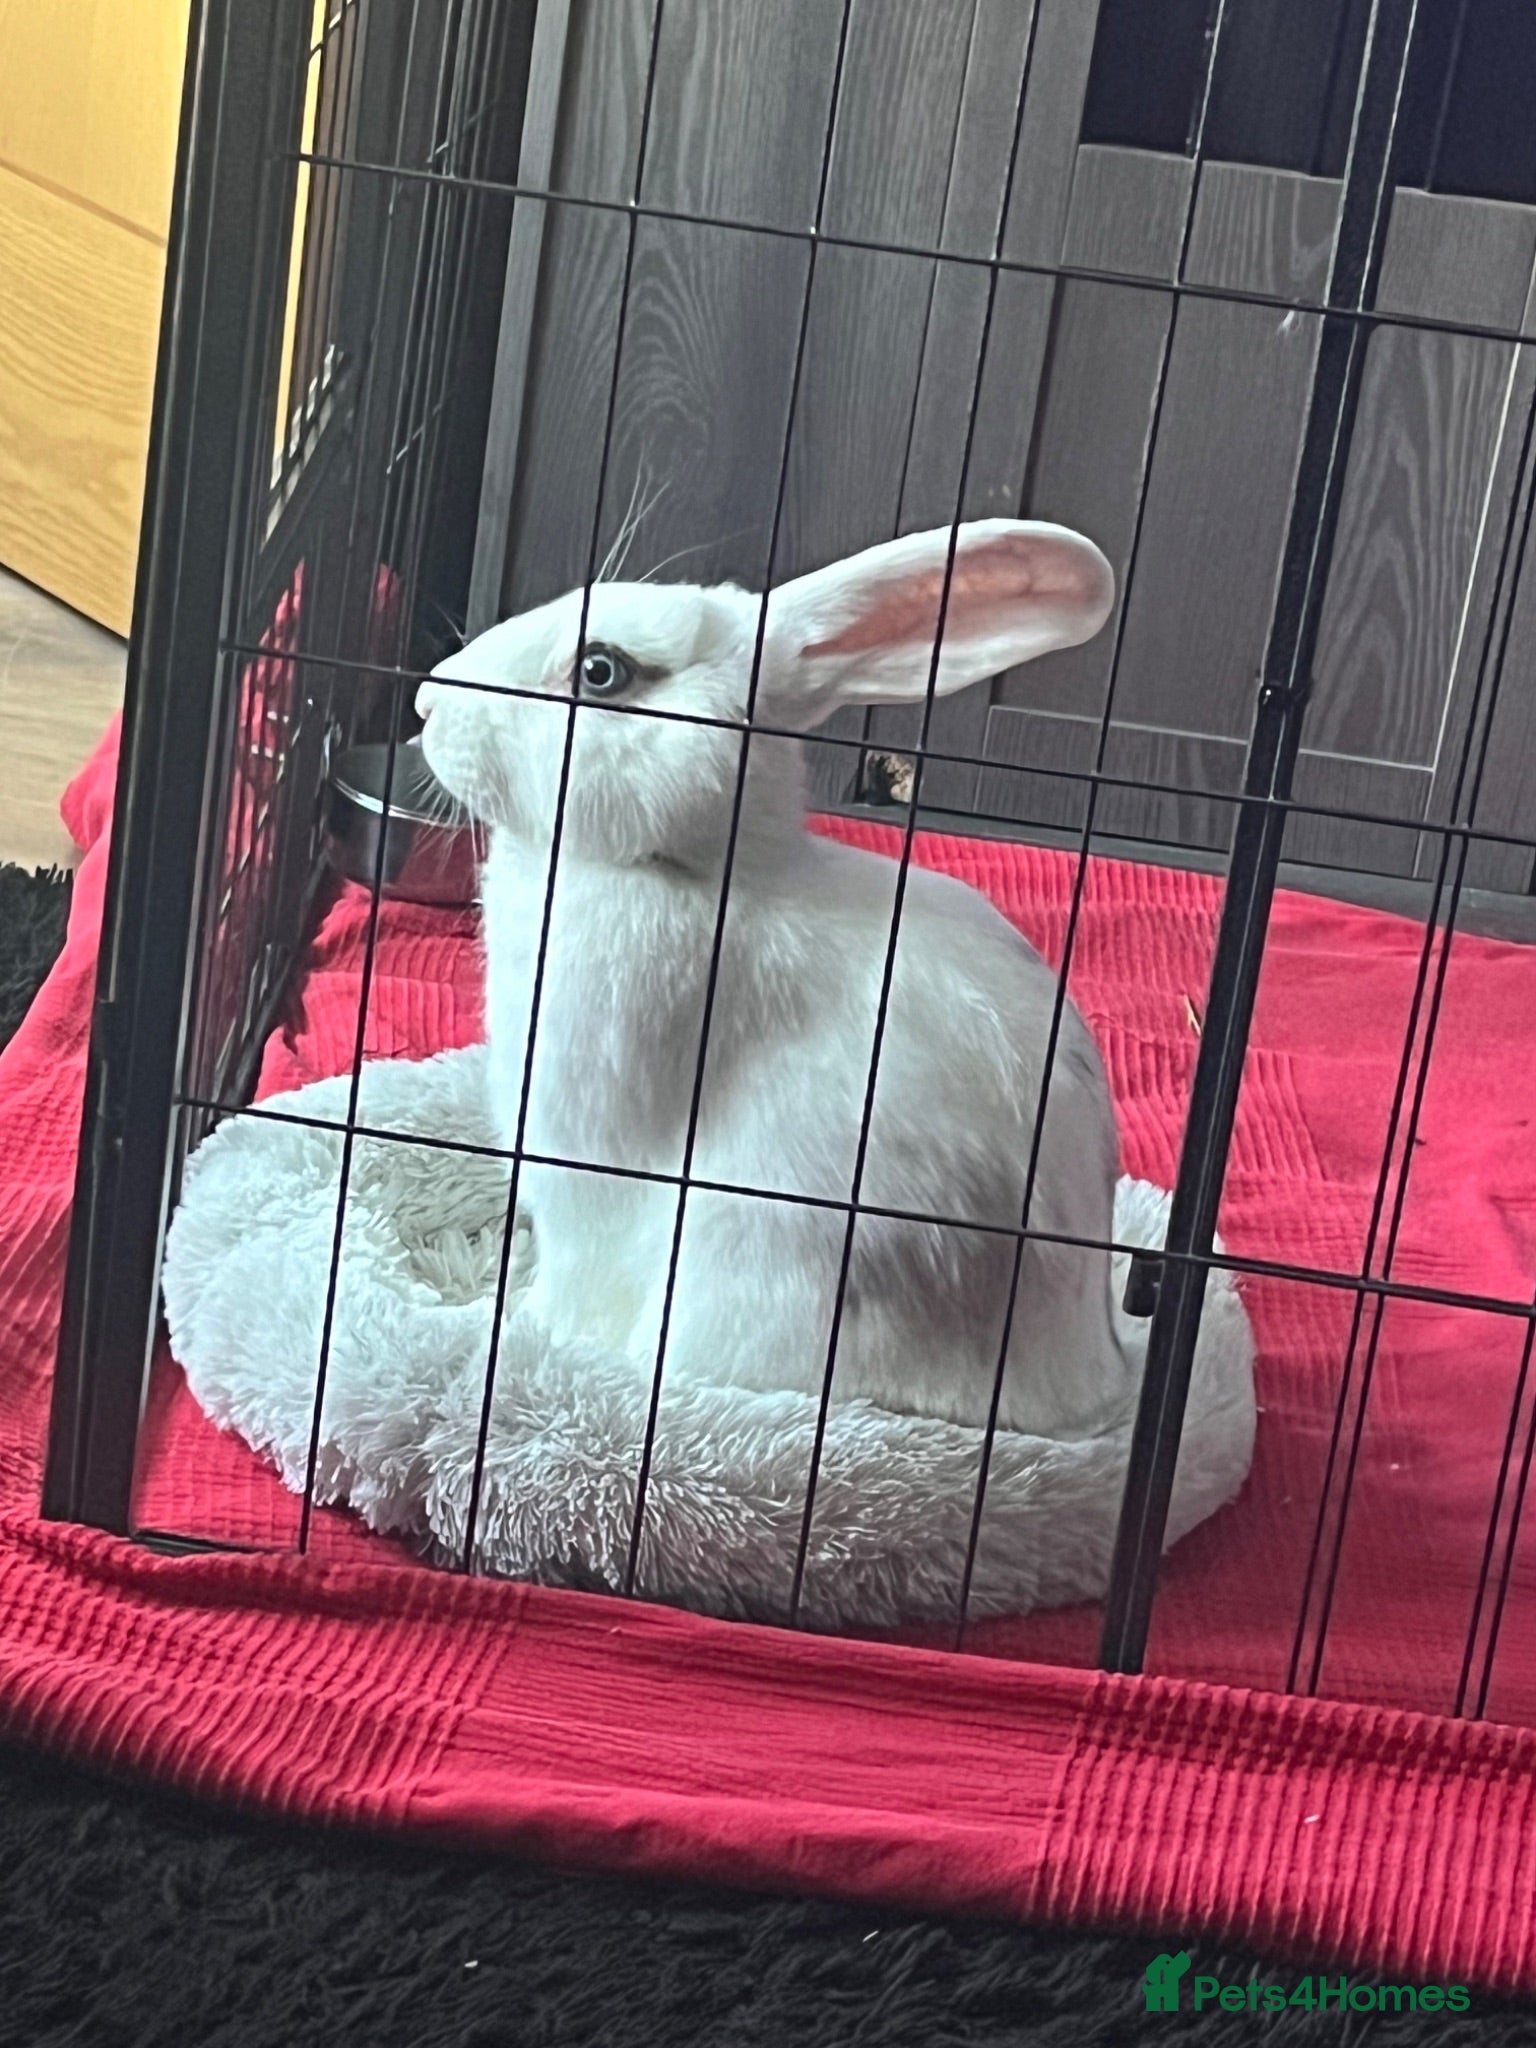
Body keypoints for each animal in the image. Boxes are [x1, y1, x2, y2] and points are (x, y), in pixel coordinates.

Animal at [416, 518, 1135, 1441]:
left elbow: (574, 1278)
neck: (696, 868)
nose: (427, 703)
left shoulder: (586, 1159)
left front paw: (516, 1322)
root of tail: (1081, 1398)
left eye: (601, 671)